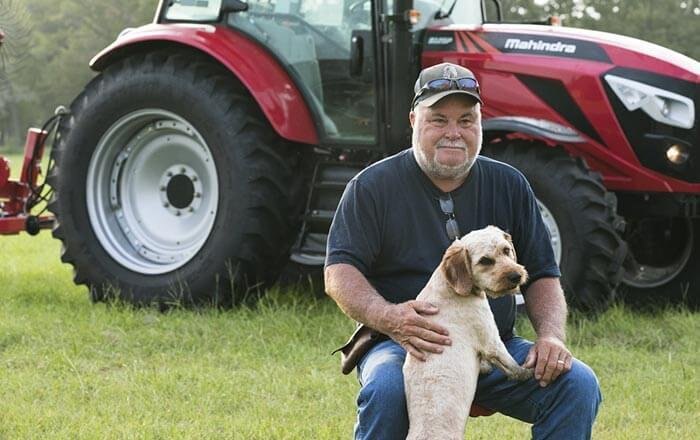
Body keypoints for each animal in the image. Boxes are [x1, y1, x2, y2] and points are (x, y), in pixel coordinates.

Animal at [402, 225, 532, 438]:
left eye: (506, 250)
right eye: (485, 261)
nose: (516, 276)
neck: (451, 288)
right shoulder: (491, 339)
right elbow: (511, 365)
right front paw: (526, 373)